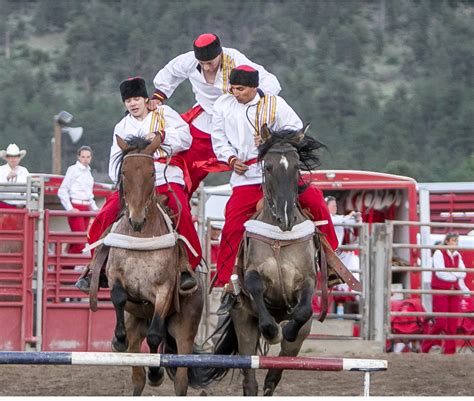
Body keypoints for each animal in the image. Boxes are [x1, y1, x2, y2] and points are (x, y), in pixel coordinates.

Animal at [106, 134, 203, 394]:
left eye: (151, 172)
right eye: (124, 172)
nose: (137, 219)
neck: (141, 237)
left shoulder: (164, 290)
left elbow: (155, 337)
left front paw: (157, 372)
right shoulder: (114, 275)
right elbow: (118, 296)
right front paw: (118, 339)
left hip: (185, 331)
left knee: (179, 378)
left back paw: (158, 373)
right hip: (136, 323)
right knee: (138, 377)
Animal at [202, 124, 324, 394]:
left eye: (297, 166)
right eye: (267, 167)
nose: (286, 217)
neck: (280, 238)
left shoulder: (307, 280)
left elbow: (303, 309)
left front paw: (286, 329)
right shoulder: (252, 276)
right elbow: (255, 286)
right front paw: (272, 331)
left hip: (297, 342)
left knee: (272, 377)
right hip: (244, 325)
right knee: (251, 381)